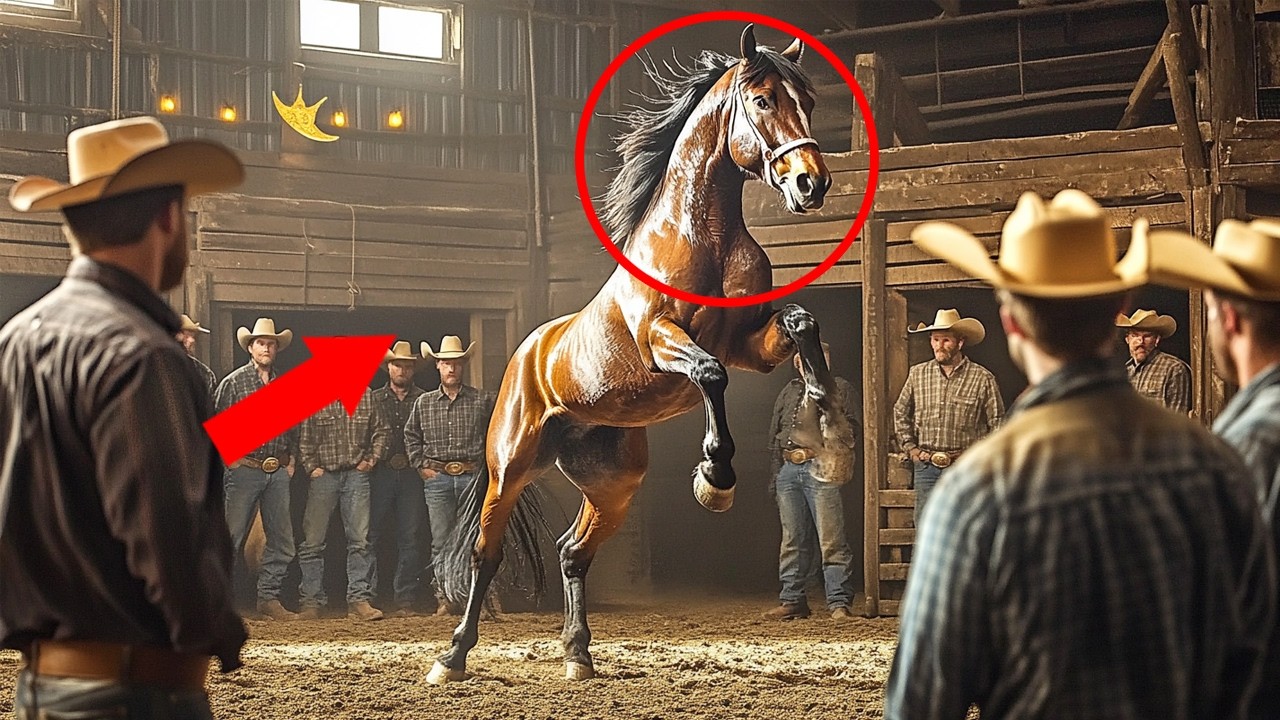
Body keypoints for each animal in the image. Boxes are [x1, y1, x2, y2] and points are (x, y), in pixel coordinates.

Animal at [427, 24, 855, 684]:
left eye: (806, 102)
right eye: (762, 101)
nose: (812, 183)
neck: (702, 236)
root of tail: (526, 353)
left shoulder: (751, 344)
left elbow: (800, 322)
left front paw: (825, 411)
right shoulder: (663, 339)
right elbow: (709, 374)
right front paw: (715, 476)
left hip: (613, 485)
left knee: (572, 553)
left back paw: (578, 655)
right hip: (511, 466)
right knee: (485, 554)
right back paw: (452, 658)